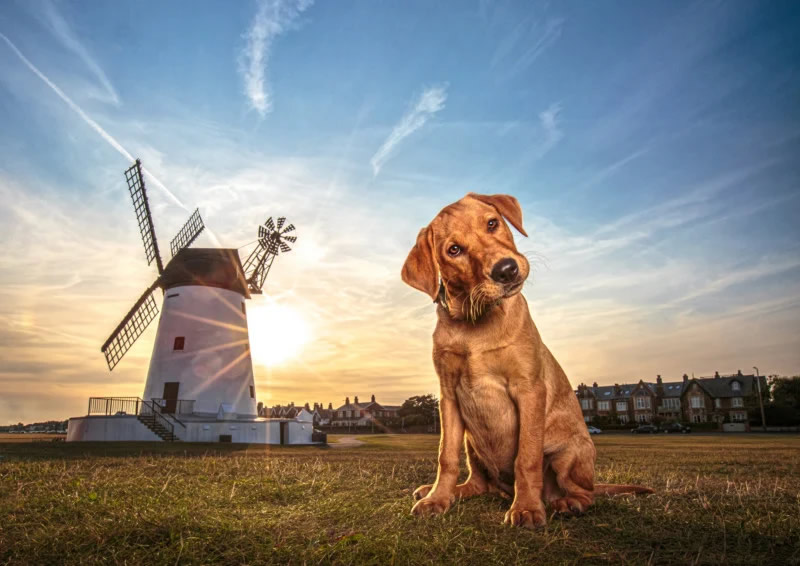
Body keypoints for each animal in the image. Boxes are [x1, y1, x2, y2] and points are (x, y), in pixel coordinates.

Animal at [400, 194, 648, 528]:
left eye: (492, 223)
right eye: (454, 250)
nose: (506, 270)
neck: (476, 322)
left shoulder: (529, 389)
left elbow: (526, 458)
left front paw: (528, 508)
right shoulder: (449, 396)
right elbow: (446, 456)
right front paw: (438, 498)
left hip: (570, 452)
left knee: (583, 491)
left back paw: (568, 502)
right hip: (472, 443)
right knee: (478, 483)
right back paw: (448, 490)